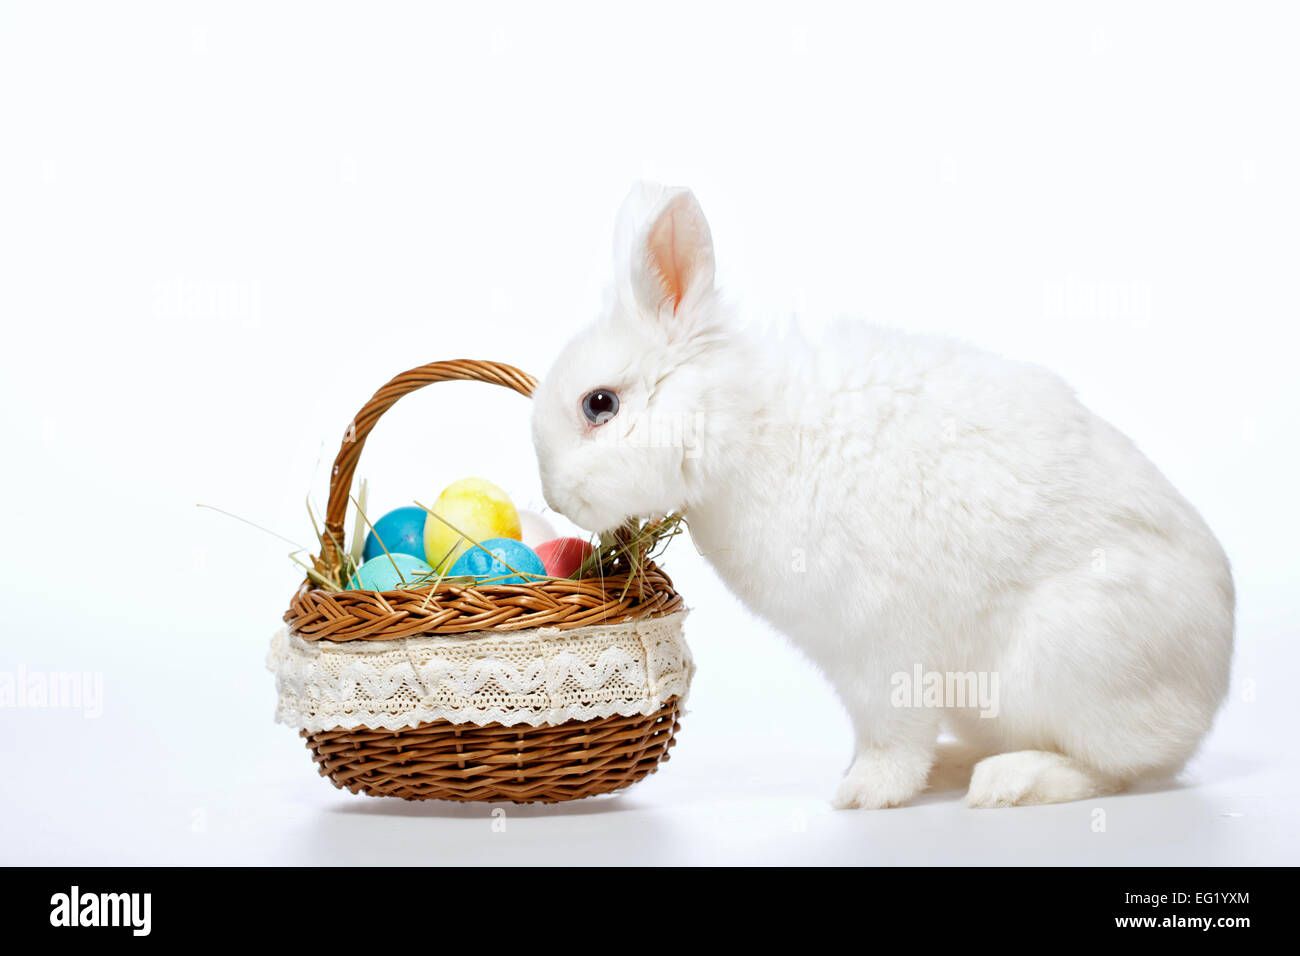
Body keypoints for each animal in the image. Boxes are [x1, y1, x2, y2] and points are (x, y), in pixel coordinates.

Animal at [533, 180, 1232, 806]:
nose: (556, 497)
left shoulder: (878, 647)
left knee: (1117, 769)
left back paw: (1008, 783)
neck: (744, 426)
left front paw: (863, 793)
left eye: (600, 404)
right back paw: (958, 768)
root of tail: (1209, 691)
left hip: (1064, 665)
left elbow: (892, 734)